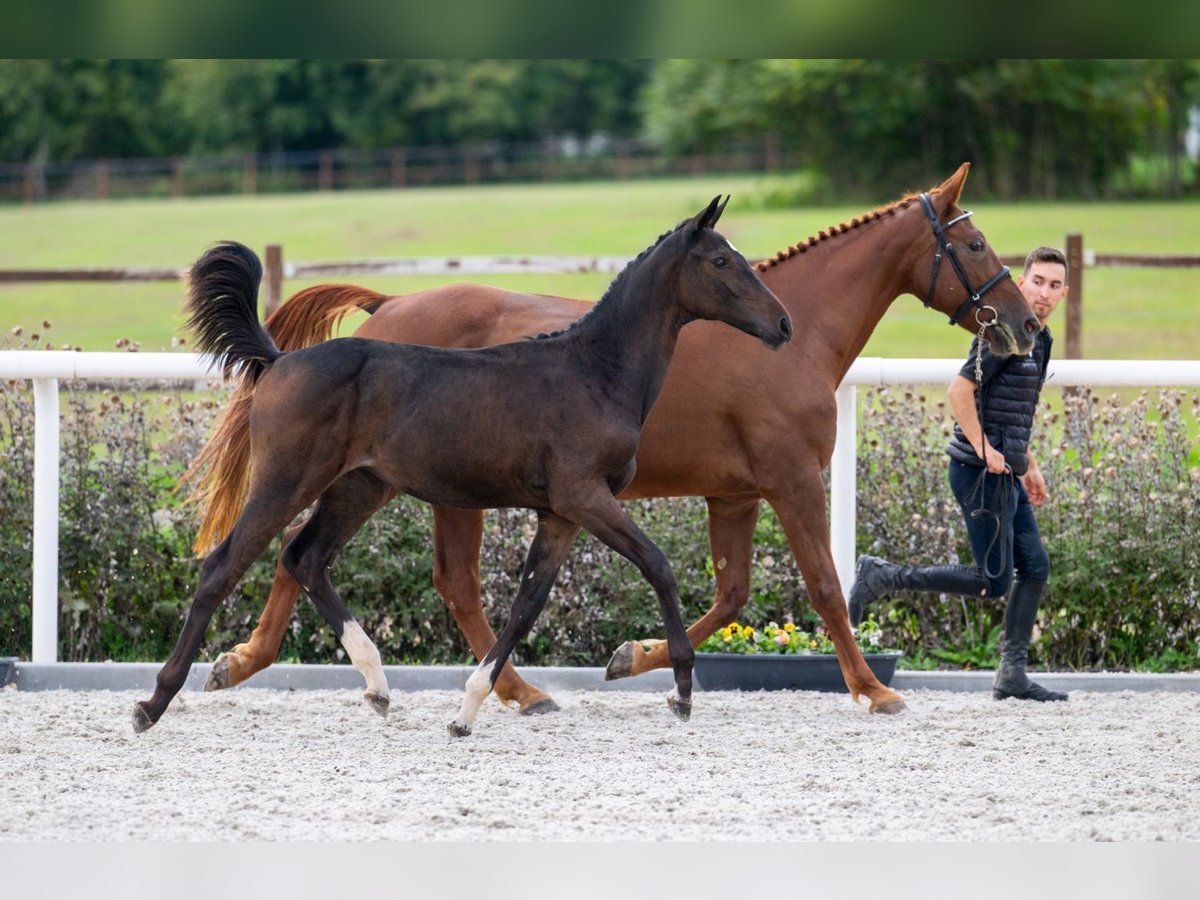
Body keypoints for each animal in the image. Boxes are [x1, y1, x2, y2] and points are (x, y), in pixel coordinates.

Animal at [136, 195, 792, 734]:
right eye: (721, 261)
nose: (783, 324)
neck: (594, 373)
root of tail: (277, 361)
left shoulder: (561, 515)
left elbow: (527, 604)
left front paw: (470, 708)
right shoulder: (585, 496)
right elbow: (658, 565)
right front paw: (680, 691)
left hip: (359, 487)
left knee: (305, 556)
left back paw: (377, 686)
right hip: (286, 481)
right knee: (222, 568)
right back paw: (153, 703)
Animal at [192, 162, 1036, 720]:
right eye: (976, 245)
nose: (1026, 327)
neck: (787, 341)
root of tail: (390, 305)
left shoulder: (734, 494)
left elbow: (731, 593)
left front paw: (636, 659)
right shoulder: (794, 480)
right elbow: (825, 587)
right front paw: (872, 688)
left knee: (322, 557)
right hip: (409, 486)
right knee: (408, 574)